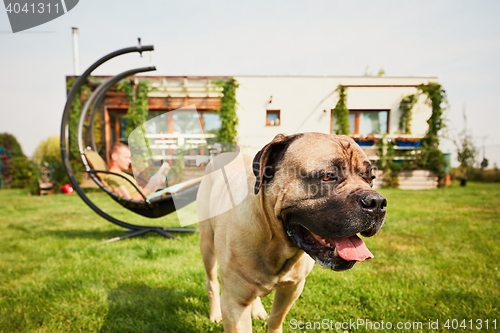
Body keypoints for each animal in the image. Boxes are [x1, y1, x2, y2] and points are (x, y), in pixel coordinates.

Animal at [197, 133, 384, 332]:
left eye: (370, 179)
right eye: (327, 177)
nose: (377, 203)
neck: (273, 240)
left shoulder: (292, 287)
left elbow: (276, 318)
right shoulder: (234, 302)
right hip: (207, 245)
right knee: (212, 281)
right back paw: (215, 313)